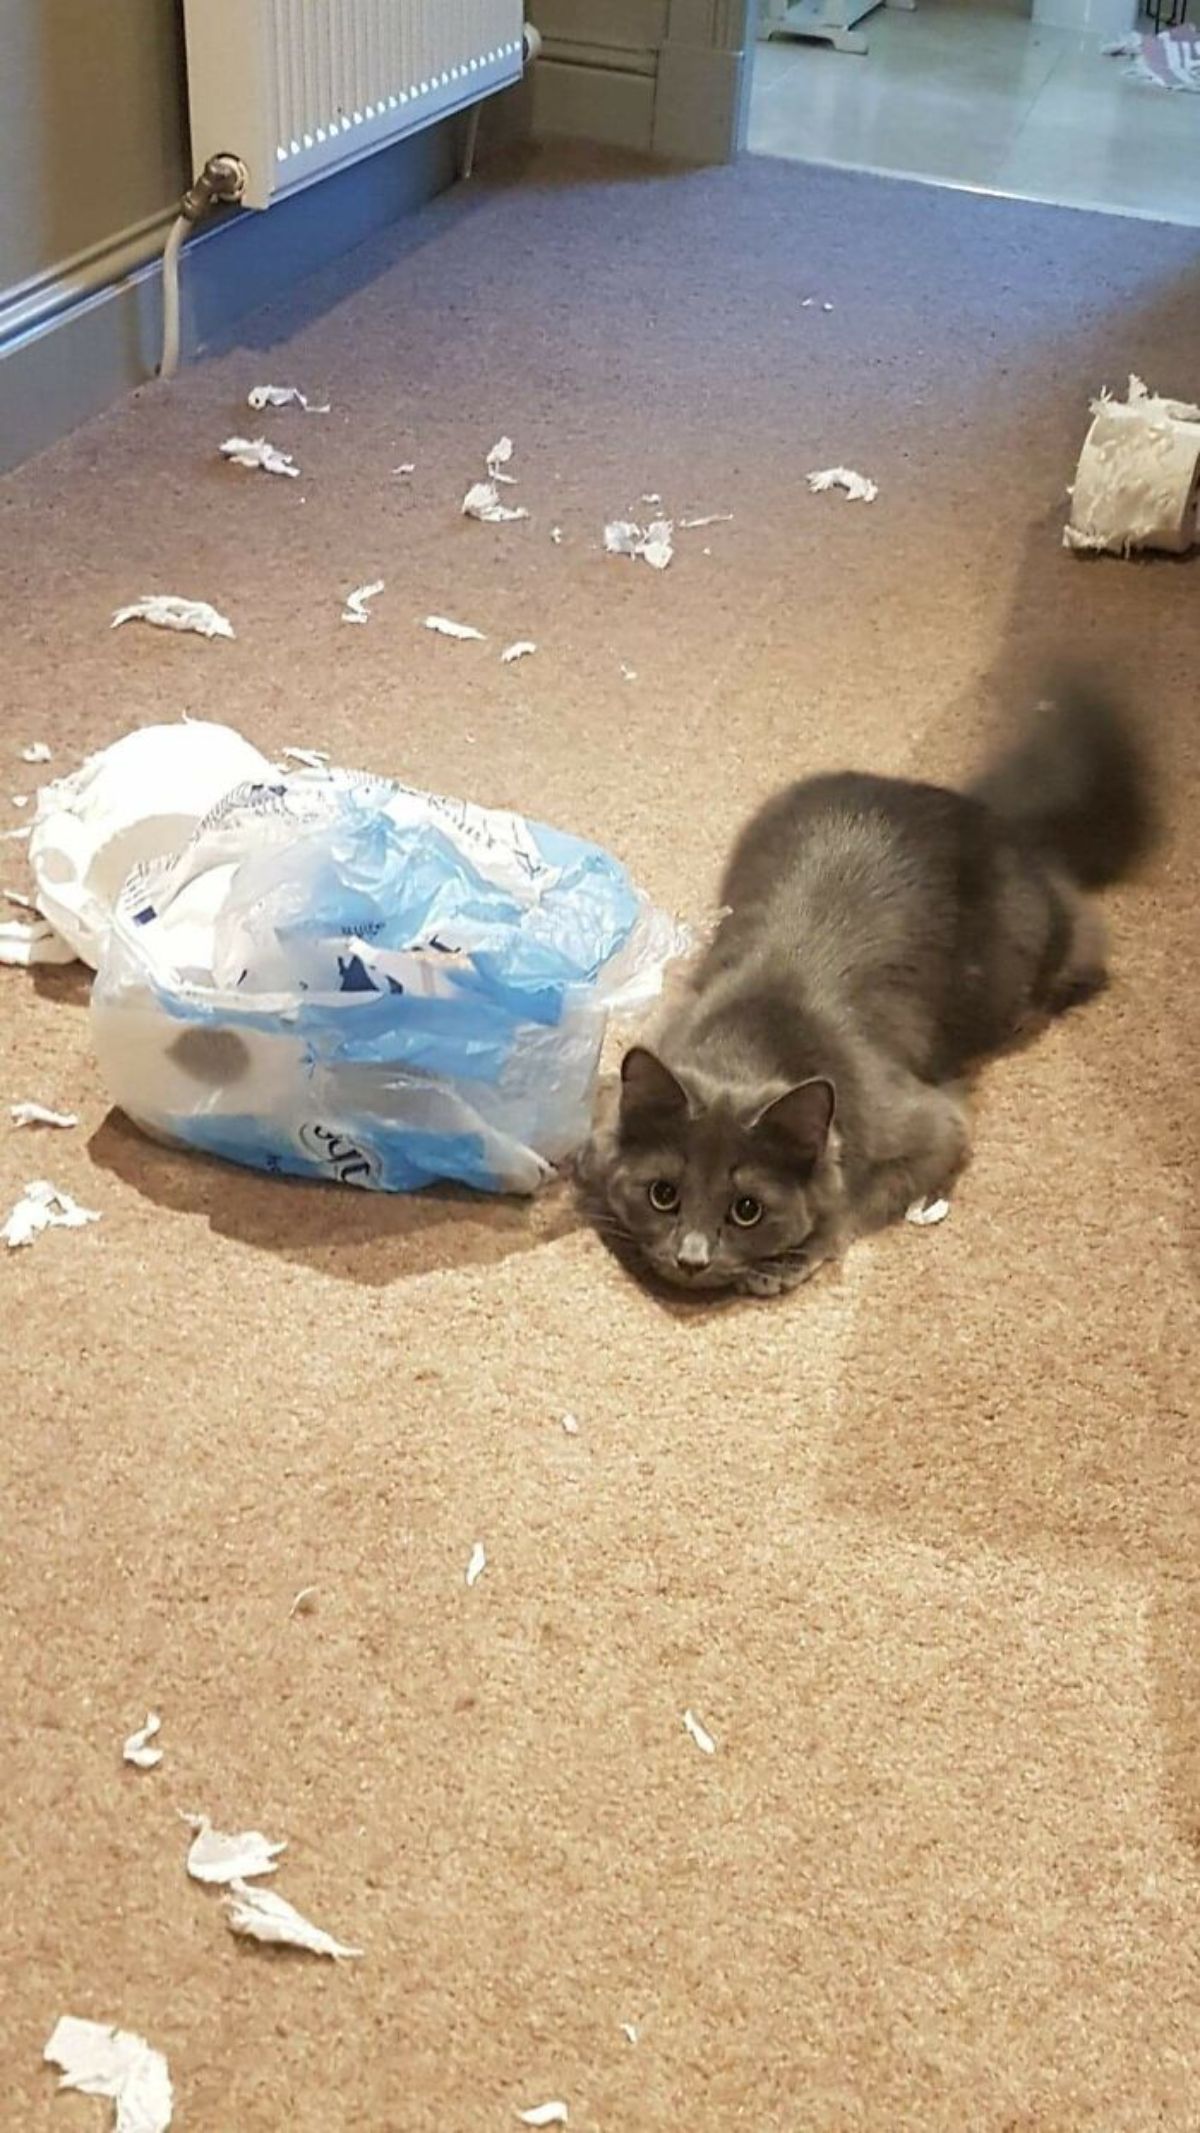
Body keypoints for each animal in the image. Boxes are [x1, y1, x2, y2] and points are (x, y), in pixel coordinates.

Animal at [584, 674, 1150, 1288]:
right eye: (662, 1195)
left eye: (746, 1210)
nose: (692, 1260)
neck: (754, 1038)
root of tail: (975, 808)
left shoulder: (936, 1126)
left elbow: (856, 1199)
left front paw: (795, 1257)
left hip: (1026, 958)